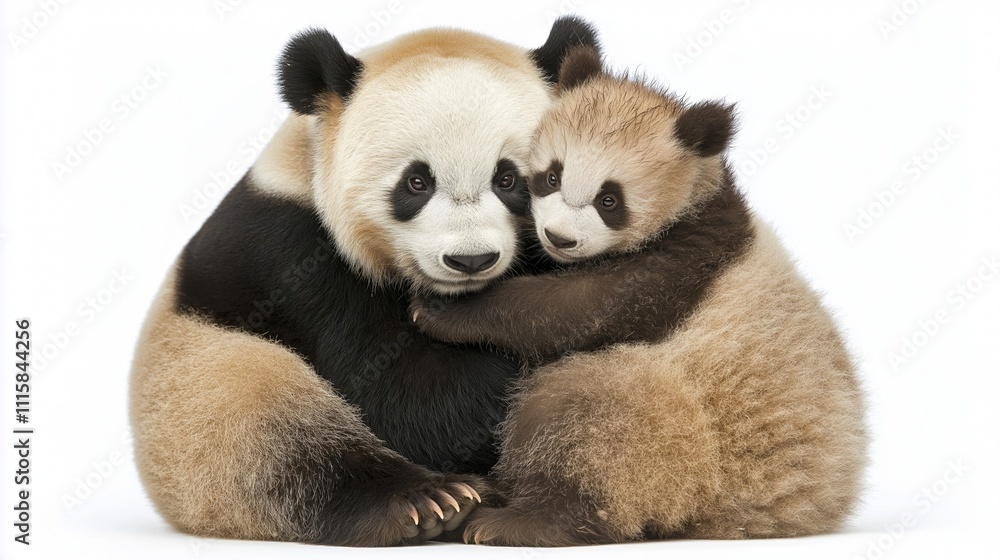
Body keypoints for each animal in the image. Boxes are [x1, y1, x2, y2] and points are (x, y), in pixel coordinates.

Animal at [128, 19, 599, 546]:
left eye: (508, 179)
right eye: (416, 182)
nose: (470, 259)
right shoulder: (294, 256)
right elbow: (414, 395)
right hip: (200, 396)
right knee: (286, 439)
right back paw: (429, 502)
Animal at [410, 47, 869, 546]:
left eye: (609, 200)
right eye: (552, 176)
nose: (559, 238)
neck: (696, 192)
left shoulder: (686, 259)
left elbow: (580, 308)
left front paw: (443, 308)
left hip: (695, 440)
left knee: (588, 419)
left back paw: (520, 519)